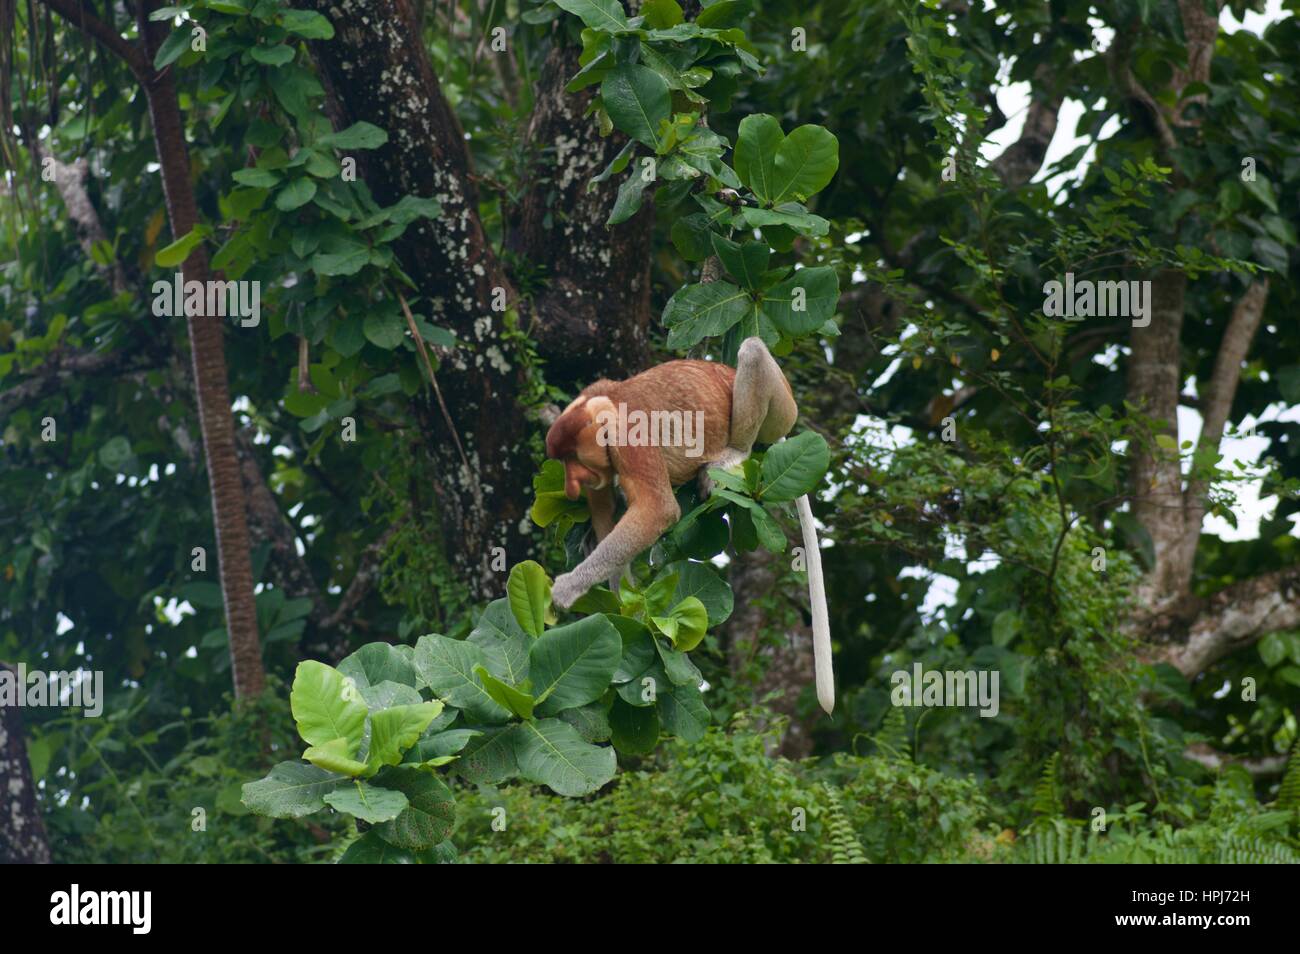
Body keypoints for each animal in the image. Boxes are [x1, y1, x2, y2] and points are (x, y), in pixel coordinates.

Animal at [545, 337, 834, 715]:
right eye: (562, 461)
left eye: (572, 458)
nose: (571, 487)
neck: (604, 406)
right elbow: (606, 512)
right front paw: (621, 604)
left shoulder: (629, 439)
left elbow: (657, 509)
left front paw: (566, 589)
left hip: (783, 409)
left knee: (753, 350)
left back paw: (732, 454)